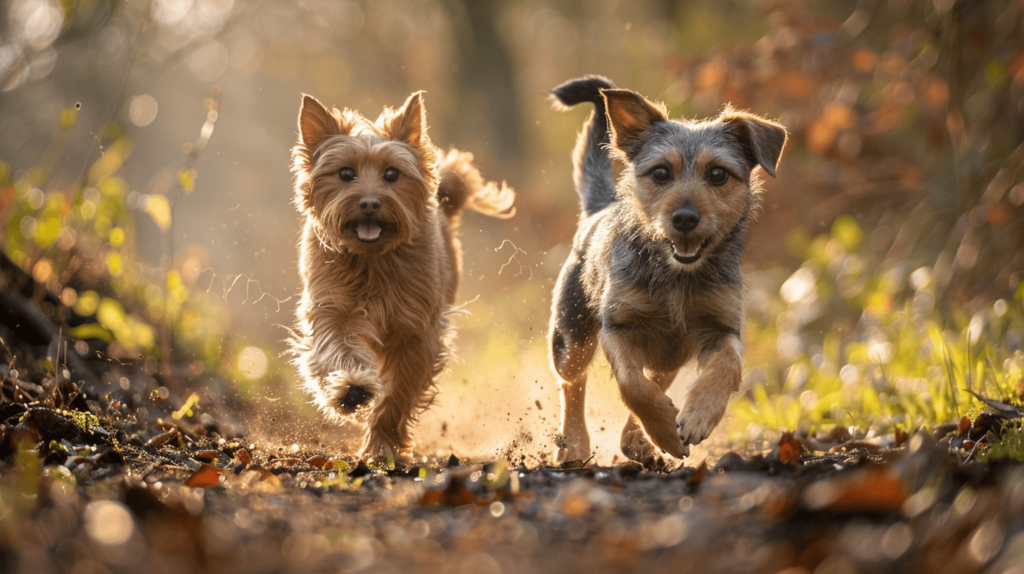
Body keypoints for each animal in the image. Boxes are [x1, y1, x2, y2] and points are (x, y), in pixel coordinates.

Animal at [290, 94, 512, 460]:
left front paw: (381, 444)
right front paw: (351, 388)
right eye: (346, 173)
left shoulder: (415, 330)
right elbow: (338, 347)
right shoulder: (333, 309)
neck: (372, 260)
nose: (369, 203)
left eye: (392, 174)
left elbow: (400, 393)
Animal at [548, 76, 786, 462]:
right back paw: (575, 445)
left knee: (658, 376)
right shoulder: (617, 325)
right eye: (661, 172)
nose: (685, 218)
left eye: (718, 174)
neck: (676, 277)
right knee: (572, 382)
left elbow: (728, 365)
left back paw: (638, 439)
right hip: (571, 335)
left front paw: (698, 415)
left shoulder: (721, 326)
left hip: (671, 351)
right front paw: (663, 428)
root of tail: (598, 209)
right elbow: (632, 383)